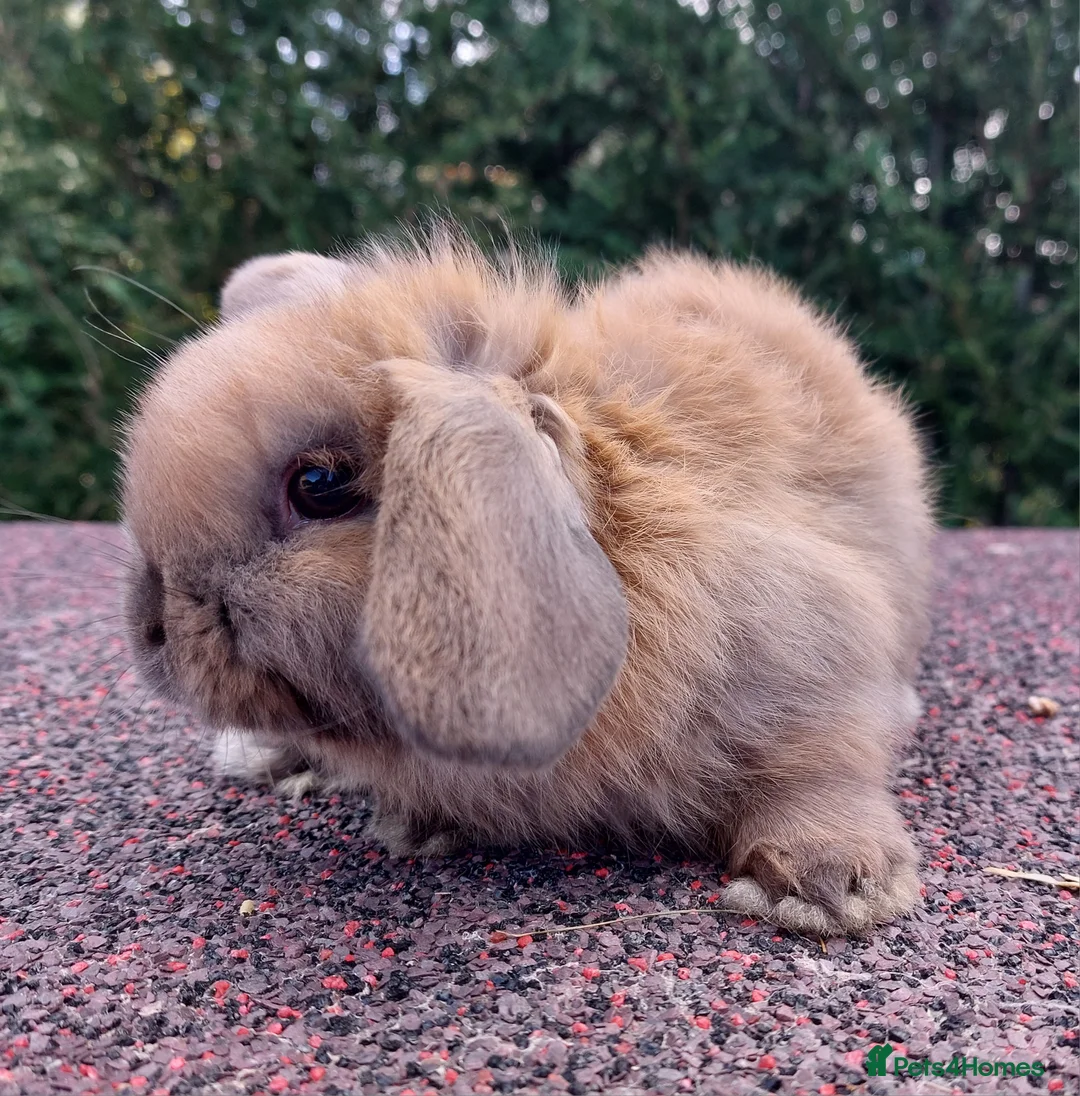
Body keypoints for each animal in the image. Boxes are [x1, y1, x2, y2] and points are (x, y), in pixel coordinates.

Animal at [121, 226, 934, 937]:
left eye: (318, 485)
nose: (151, 629)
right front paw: (415, 826)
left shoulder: (809, 647)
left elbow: (819, 769)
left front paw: (829, 889)